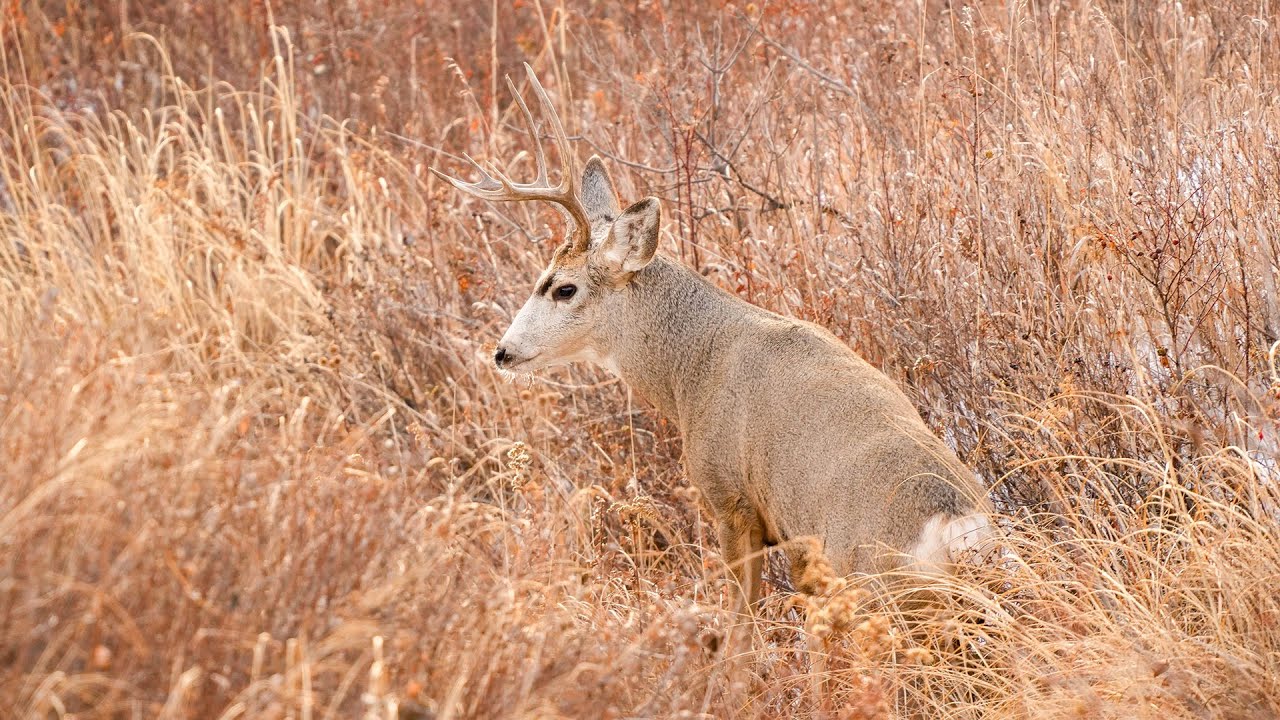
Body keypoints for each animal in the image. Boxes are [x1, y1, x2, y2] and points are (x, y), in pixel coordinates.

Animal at [433, 65, 993, 611]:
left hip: (871, 585)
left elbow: (740, 619)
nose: (503, 352)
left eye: (563, 288)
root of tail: (955, 528)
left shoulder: (731, 497)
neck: (691, 371)